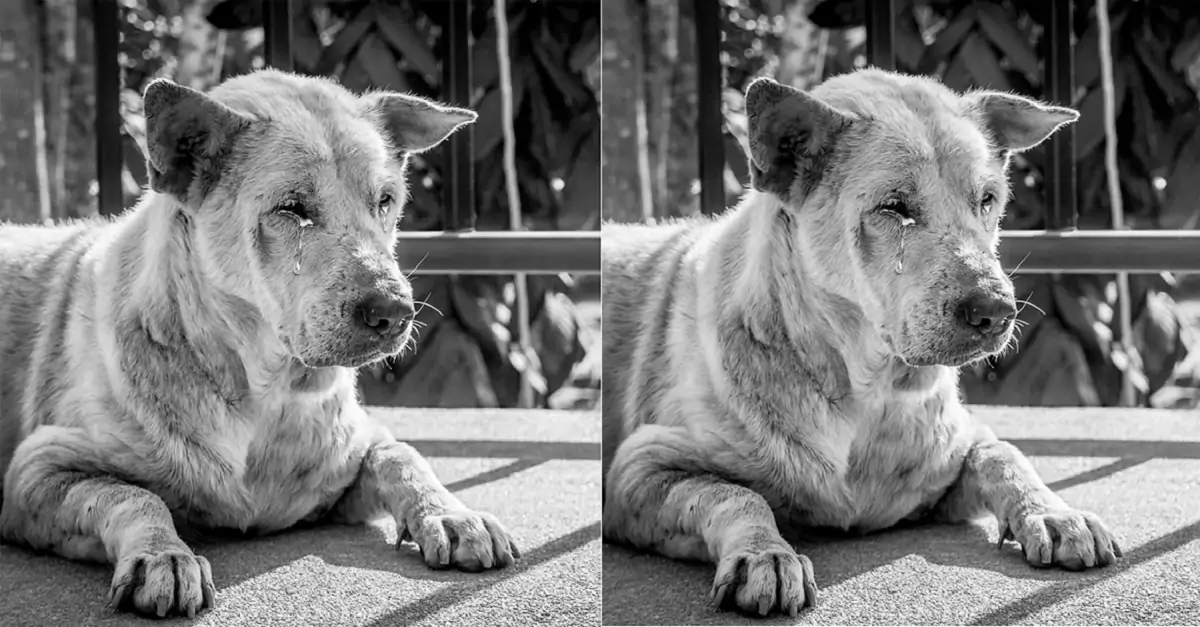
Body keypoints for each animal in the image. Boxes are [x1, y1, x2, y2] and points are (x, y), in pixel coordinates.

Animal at [0, 68, 518, 614]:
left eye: (385, 201)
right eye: (291, 208)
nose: (395, 312)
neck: (265, 392)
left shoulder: (352, 453)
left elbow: (403, 455)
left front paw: (452, 514)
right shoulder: (35, 472)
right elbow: (135, 496)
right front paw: (164, 556)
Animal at [604, 69, 1118, 614]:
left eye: (987, 201)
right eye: (893, 207)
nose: (997, 311)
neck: (868, 391)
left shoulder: (955, 451)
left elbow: (1004, 454)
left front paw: (1054, 513)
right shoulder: (637, 470)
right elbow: (737, 495)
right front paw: (766, 555)